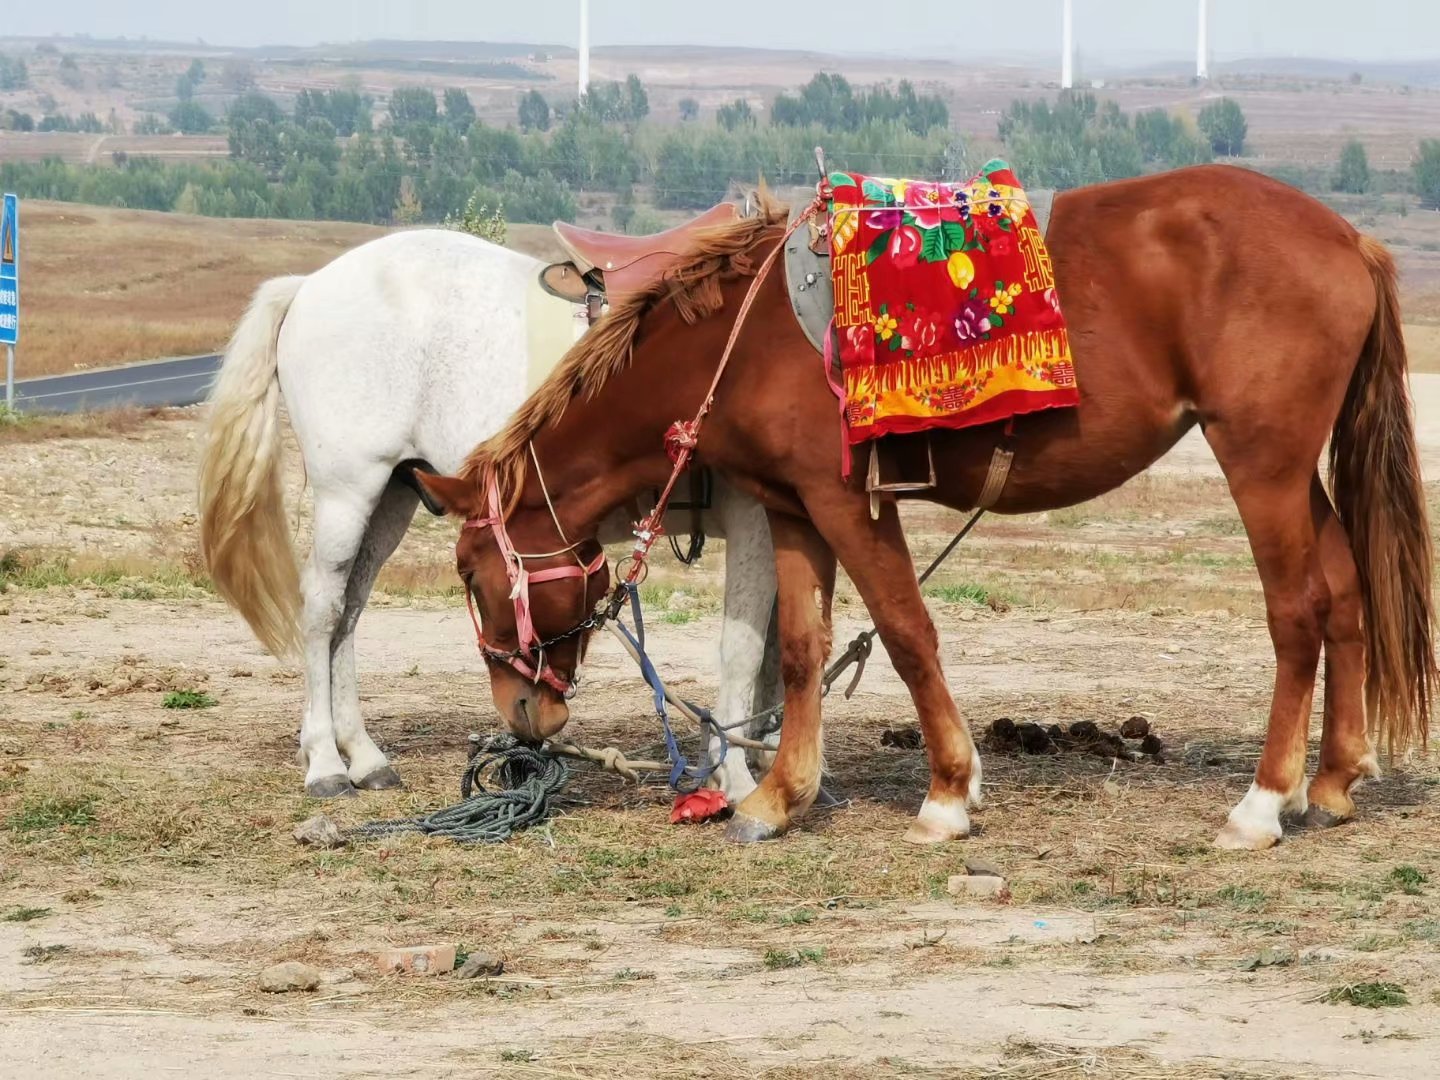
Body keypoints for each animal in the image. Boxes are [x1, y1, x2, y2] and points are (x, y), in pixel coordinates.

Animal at [198, 230, 783, 806]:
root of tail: (307, 286)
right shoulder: (758, 518)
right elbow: (747, 647)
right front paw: (737, 774)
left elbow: (778, 647)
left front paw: (768, 749)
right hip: (349, 490)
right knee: (323, 609)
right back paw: (324, 761)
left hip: (391, 497)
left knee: (351, 610)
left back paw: (363, 756)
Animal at [414, 164, 1428, 852]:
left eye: (471, 574)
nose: (522, 714)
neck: (741, 341)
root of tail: (1350, 240)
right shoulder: (792, 509)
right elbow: (800, 649)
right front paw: (777, 799)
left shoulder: (847, 502)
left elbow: (906, 631)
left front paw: (948, 792)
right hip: (1294, 472)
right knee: (1345, 593)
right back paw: (1331, 781)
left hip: (1259, 461)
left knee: (1298, 611)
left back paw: (1262, 803)